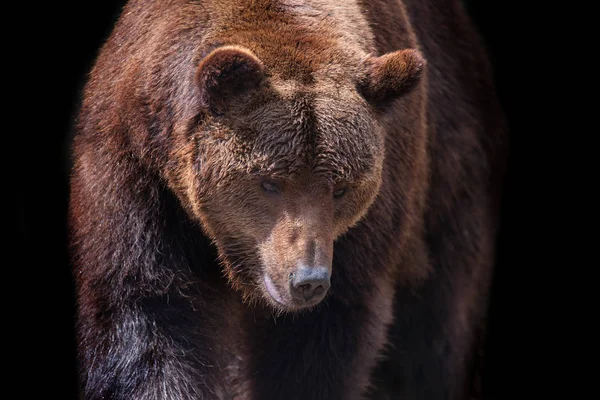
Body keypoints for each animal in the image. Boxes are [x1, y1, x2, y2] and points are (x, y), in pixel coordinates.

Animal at [69, 0, 506, 400]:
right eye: (269, 182)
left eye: (341, 187)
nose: (307, 279)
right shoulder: (138, 173)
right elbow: (151, 312)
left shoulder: (371, 220)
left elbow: (319, 342)